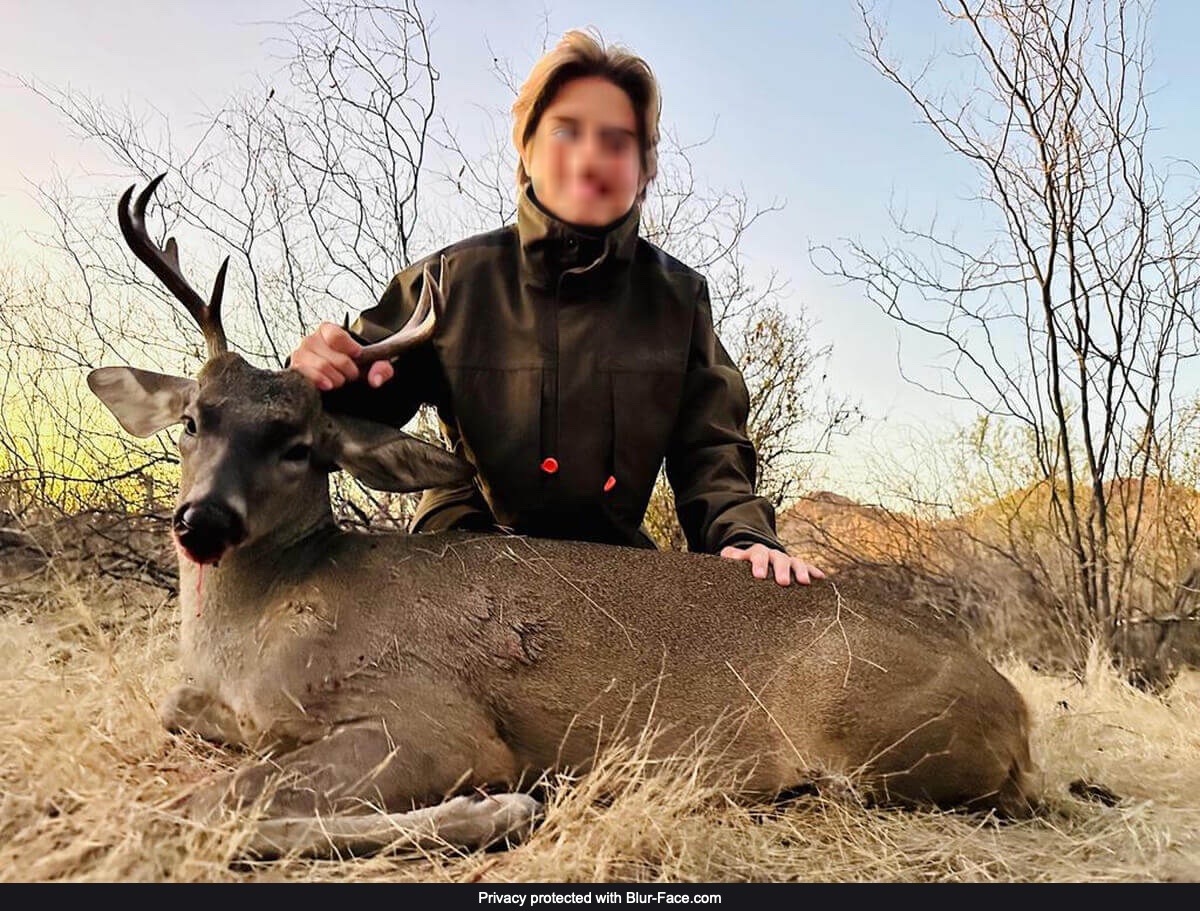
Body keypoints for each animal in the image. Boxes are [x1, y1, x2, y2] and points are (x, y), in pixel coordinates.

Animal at [86, 176, 1036, 859]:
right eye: (192, 419)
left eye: (300, 446)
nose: (202, 521)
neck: (259, 627)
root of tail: (1017, 714)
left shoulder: (430, 721)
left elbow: (204, 805)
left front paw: (500, 807)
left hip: (864, 731)